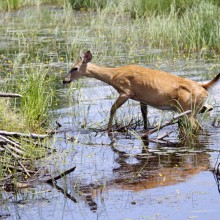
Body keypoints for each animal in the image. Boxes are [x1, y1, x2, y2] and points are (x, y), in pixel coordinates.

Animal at [62, 50, 220, 131]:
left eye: (75, 68)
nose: (64, 80)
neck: (113, 75)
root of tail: (204, 87)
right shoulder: (142, 99)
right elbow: (144, 116)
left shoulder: (126, 91)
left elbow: (112, 108)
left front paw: (108, 129)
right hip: (193, 108)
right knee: (207, 110)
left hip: (188, 108)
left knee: (196, 127)